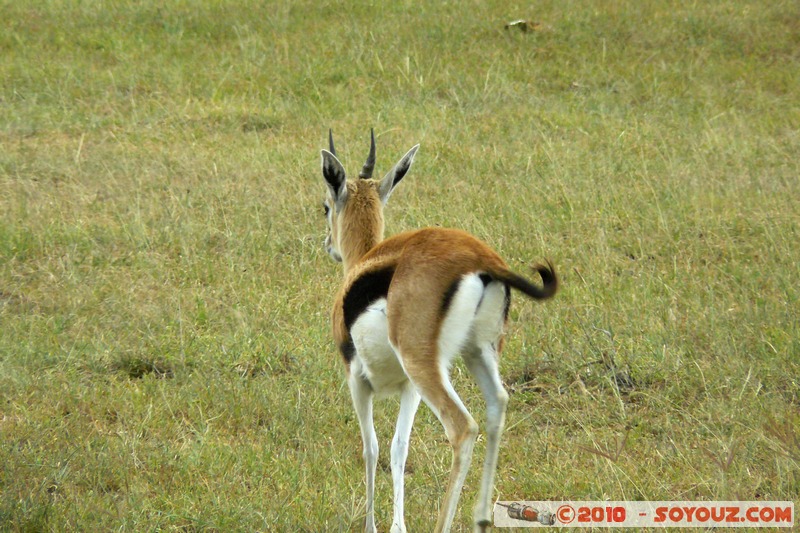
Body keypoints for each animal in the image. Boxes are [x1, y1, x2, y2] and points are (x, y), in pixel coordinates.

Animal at [320, 130, 558, 532]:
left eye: (325, 207)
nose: (328, 246)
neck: (367, 263)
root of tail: (483, 260)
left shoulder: (357, 379)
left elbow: (372, 448)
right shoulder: (409, 388)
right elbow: (399, 449)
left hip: (424, 364)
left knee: (463, 428)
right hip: (477, 353)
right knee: (498, 405)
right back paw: (482, 518)